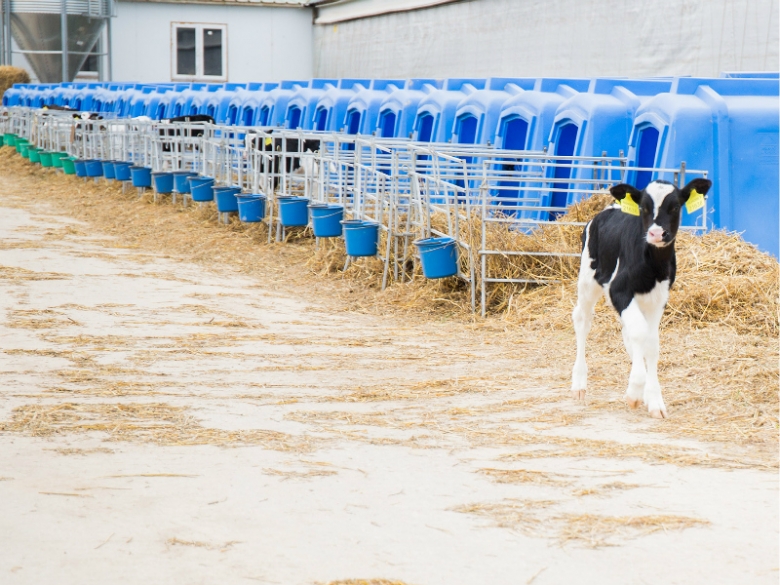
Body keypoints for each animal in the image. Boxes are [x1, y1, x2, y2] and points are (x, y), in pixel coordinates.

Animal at [568, 177, 708, 416]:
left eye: (675, 206)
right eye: (644, 207)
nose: (656, 234)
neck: (653, 265)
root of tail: (611, 207)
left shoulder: (658, 298)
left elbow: (651, 342)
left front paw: (653, 399)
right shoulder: (618, 290)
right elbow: (640, 332)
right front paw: (635, 391)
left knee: (628, 332)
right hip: (588, 279)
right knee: (582, 320)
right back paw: (579, 384)